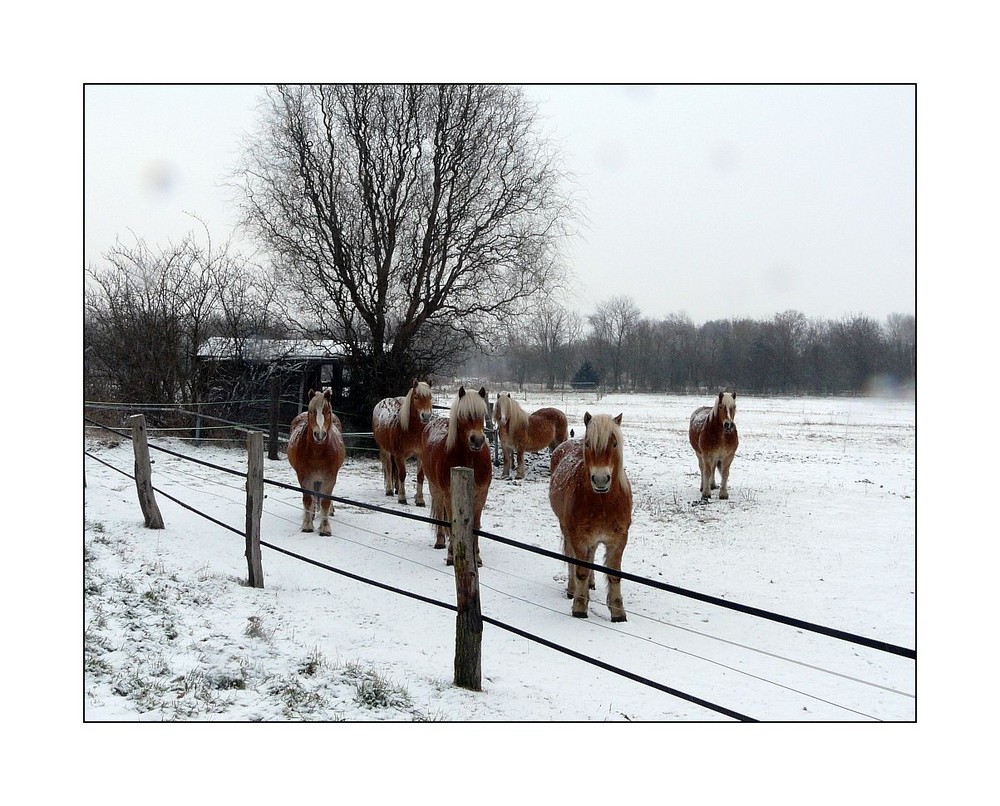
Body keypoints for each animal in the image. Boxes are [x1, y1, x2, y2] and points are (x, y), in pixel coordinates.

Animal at [290, 390, 348, 536]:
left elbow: (325, 501)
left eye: (328, 411)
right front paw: (307, 525)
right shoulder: (304, 476)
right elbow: (307, 499)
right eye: (311, 411)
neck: (318, 452)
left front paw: (325, 528)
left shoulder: (330, 477)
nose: (319, 435)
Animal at [418, 386, 492, 564]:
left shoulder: (481, 494)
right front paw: (452, 555)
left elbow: (476, 525)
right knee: (440, 513)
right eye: (464, 415)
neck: (469, 460)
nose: (477, 440)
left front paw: (477, 556)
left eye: (482, 414)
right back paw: (440, 541)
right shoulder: (448, 493)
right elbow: (451, 522)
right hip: (436, 489)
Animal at [552, 414, 628, 620]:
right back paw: (572, 590)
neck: (602, 504)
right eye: (588, 444)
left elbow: (614, 575)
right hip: (566, 529)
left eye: (615, 443)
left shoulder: (618, 540)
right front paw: (579, 606)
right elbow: (581, 571)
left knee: (591, 556)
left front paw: (618, 612)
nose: (600, 480)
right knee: (571, 557)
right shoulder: (578, 538)